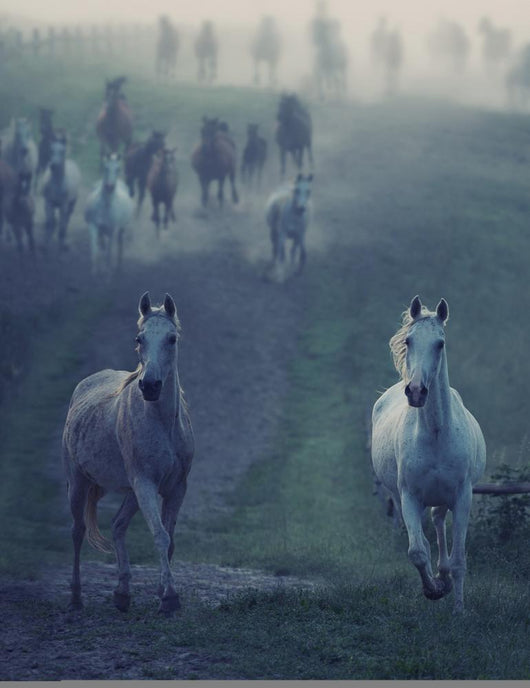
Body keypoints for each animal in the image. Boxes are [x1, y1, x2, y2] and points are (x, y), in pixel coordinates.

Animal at [62, 291, 194, 615]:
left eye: (172, 338)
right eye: (139, 338)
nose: (150, 386)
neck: (162, 424)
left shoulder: (177, 487)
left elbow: (170, 539)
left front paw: (162, 590)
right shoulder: (145, 483)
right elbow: (160, 535)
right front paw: (170, 598)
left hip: (132, 492)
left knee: (118, 525)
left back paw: (122, 593)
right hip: (79, 483)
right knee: (77, 531)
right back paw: (76, 598)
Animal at [371, 296, 486, 613]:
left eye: (440, 344)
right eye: (409, 341)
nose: (416, 392)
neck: (435, 433)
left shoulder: (462, 496)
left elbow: (459, 561)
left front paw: (458, 609)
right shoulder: (409, 496)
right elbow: (417, 552)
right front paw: (432, 590)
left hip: (444, 496)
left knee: (437, 521)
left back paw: (444, 577)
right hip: (401, 496)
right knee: (424, 532)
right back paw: (438, 579)